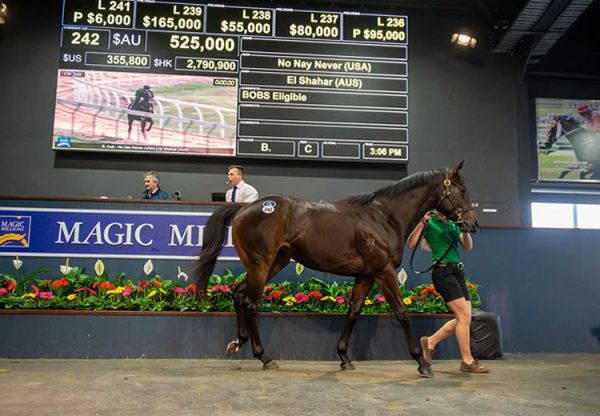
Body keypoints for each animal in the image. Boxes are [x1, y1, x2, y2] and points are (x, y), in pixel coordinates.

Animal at [193, 162, 478, 376]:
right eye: (462, 189)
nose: (473, 224)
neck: (384, 217)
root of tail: (245, 208)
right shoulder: (384, 272)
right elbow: (402, 313)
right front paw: (422, 363)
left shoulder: (366, 275)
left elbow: (353, 313)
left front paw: (344, 357)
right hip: (260, 265)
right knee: (250, 303)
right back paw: (265, 358)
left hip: (272, 263)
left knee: (238, 294)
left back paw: (237, 342)